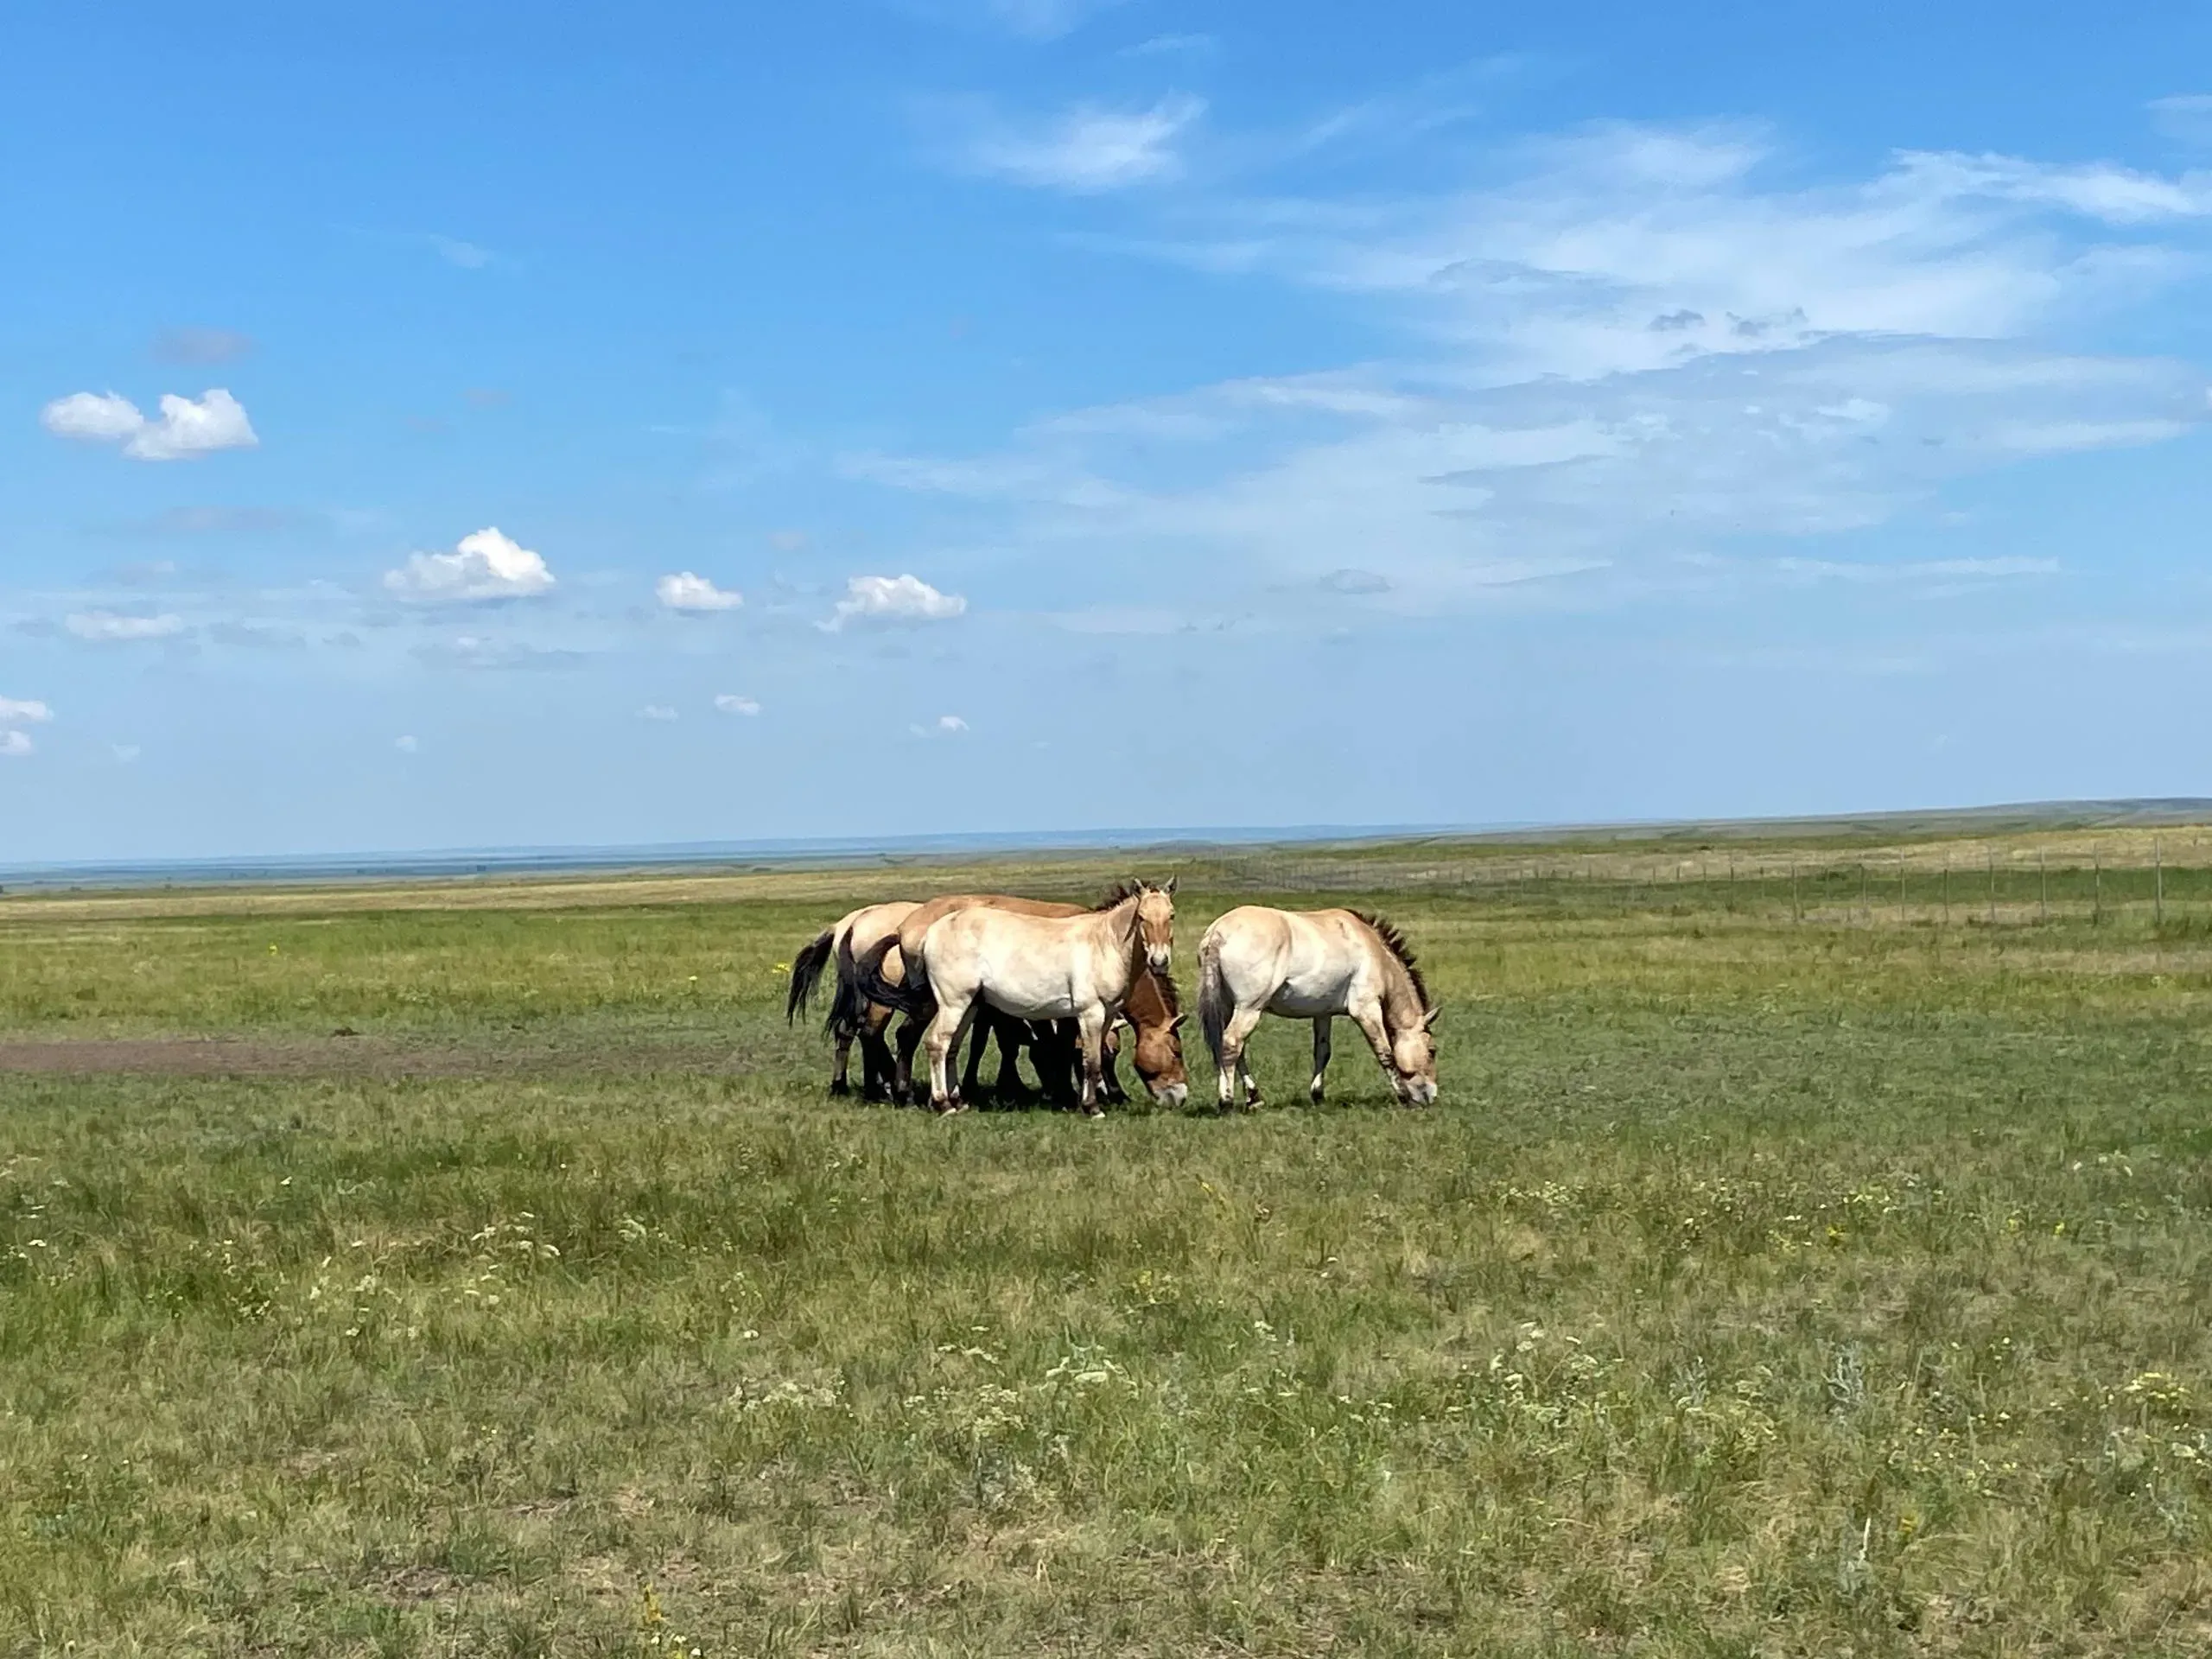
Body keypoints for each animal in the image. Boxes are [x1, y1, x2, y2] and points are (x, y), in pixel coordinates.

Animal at [854, 886, 1186, 1107]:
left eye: (1171, 916)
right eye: (1176, 1051)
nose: (1180, 1098)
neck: (1104, 941)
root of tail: (908, 925)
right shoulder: (1071, 1013)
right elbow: (1064, 1049)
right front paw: (1068, 1095)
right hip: (938, 1003)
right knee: (911, 1037)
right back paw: (908, 1094)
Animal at [1196, 906, 1440, 1110]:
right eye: (1432, 1051)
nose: (1431, 1096)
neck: (1372, 950)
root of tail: (1218, 932)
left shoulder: (1323, 1014)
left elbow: (1322, 1052)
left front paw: (1318, 1095)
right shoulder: (1367, 1010)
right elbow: (1385, 1053)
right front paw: (1404, 1097)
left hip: (1229, 1007)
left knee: (1235, 1049)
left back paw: (1254, 1098)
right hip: (1249, 1009)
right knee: (1232, 1044)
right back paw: (1226, 1101)